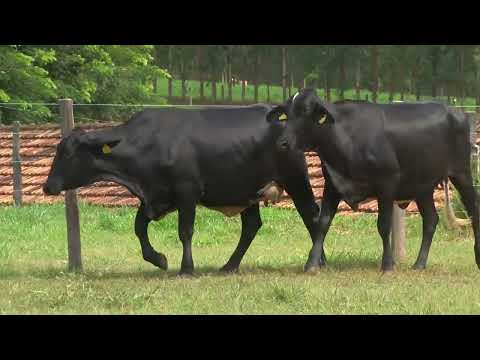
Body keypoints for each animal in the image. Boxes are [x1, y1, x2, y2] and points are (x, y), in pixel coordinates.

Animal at [43, 106, 322, 276]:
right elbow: (139, 227)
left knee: (311, 216)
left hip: (296, 179)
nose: (48, 186)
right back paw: (229, 265)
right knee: (252, 226)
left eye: (68, 153)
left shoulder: (187, 192)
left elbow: (185, 231)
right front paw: (158, 259)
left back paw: (318, 261)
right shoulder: (156, 196)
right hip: (246, 191)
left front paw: (186, 268)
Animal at [266, 90, 480, 272]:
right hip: (423, 185)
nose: (282, 143)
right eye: (286, 114)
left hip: (461, 172)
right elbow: (322, 223)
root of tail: (457, 112)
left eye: (306, 112)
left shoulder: (387, 183)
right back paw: (419, 264)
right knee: (431, 220)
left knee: (473, 209)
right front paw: (311, 264)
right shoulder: (333, 184)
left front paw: (387, 265)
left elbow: (383, 225)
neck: (346, 136)